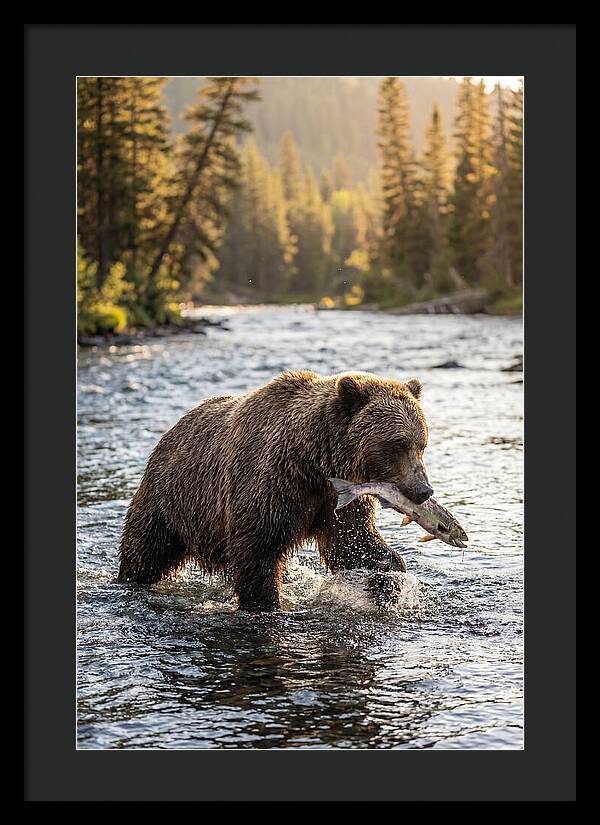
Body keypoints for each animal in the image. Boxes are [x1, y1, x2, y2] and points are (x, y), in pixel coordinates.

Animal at [117, 371, 433, 611]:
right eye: (398, 443)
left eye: (422, 443)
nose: (423, 490)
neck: (314, 461)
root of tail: (171, 430)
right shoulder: (271, 484)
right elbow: (258, 551)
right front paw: (265, 603)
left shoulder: (337, 498)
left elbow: (353, 542)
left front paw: (388, 582)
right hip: (171, 499)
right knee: (145, 550)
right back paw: (129, 580)